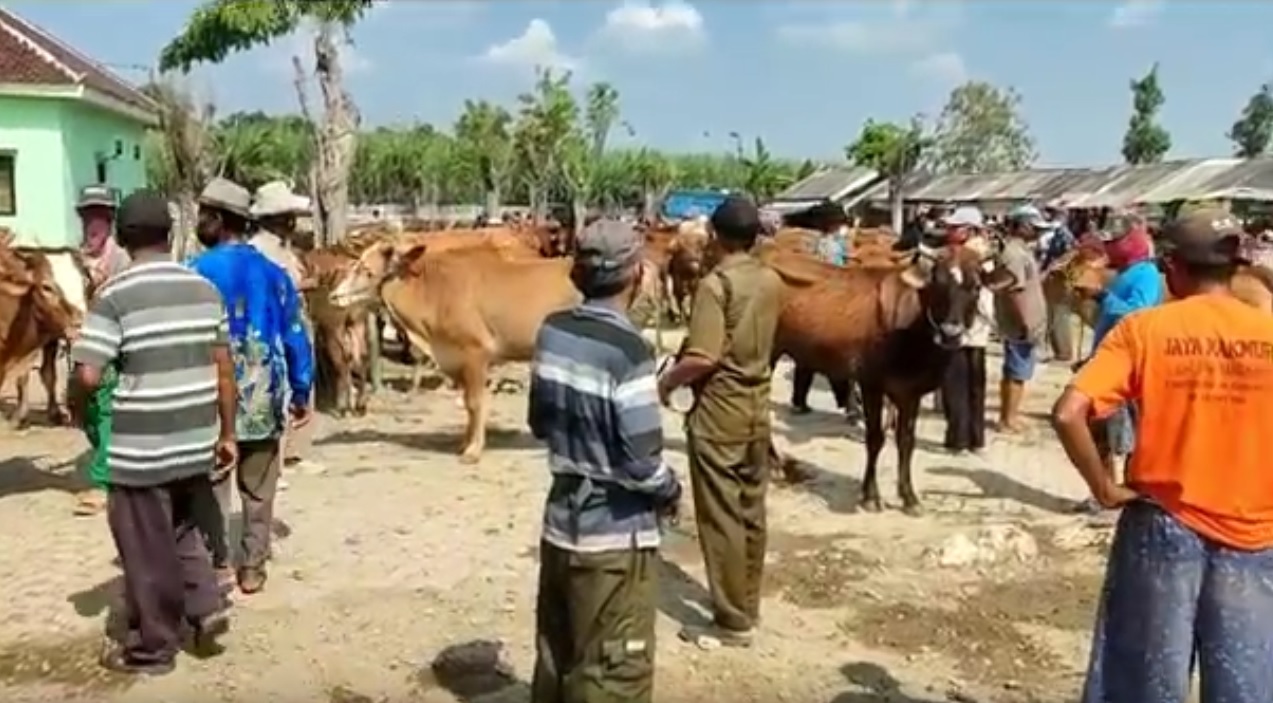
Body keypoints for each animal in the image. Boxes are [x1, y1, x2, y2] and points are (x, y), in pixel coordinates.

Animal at [330, 240, 583, 461]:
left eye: (366, 270)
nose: (334, 295)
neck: (434, 290)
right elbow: (468, 404)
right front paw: (465, 443)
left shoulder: (475, 353)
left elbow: (475, 403)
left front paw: (473, 450)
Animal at [763, 244, 1013, 514]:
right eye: (937, 283)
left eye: (976, 287)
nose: (950, 333)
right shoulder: (871, 384)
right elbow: (875, 438)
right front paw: (871, 496)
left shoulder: (911, 391)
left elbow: (906, 441)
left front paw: (909, 496)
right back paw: (774, 464)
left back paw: (775, 463)